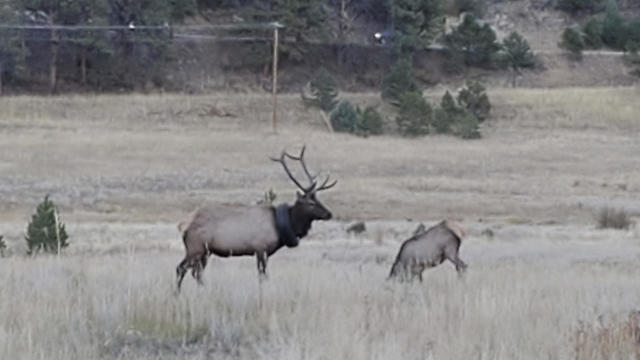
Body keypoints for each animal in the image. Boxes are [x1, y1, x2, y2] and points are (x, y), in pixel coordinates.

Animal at [175, 145, 336, 292]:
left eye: (318, 199)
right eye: (310, 203)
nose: (329, 214)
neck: (280, 227)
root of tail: (183, 225)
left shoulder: (263, 252)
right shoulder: (261, 248)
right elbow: (263, 276)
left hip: (204, 252)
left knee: (197, 273)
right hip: (195, 248)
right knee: (181, 269)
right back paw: (177, 294)